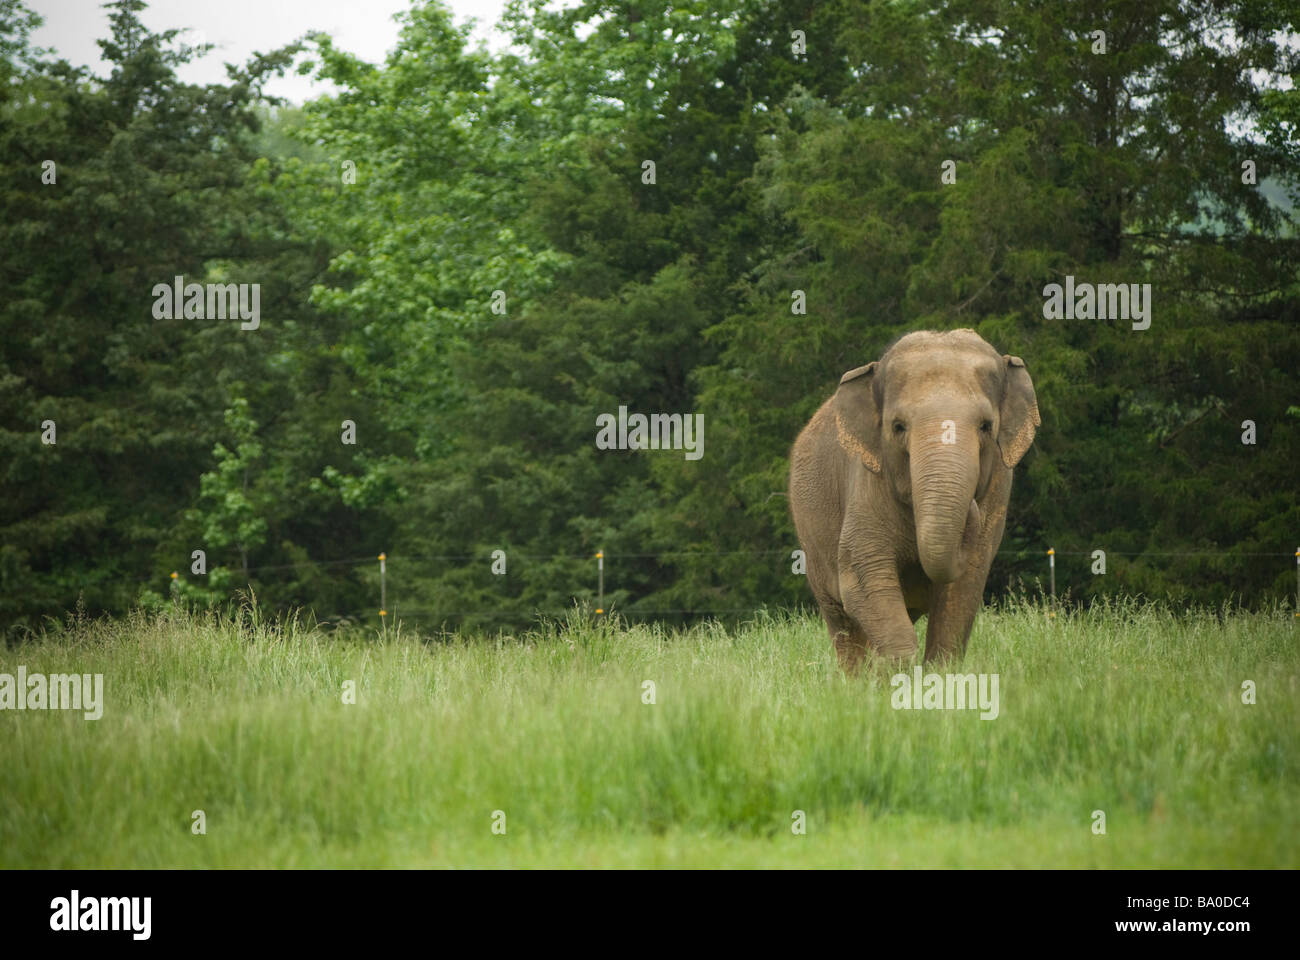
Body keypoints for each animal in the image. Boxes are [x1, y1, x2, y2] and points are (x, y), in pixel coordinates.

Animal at [785, 325, 1040, 671]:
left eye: (986, 427)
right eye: (898, 426)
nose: (972, 510)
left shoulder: (1000, 484)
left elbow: (965, 586)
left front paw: (938, 675)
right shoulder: (867, 481)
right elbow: (861, 577)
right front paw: (895, 674)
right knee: (842, 621)